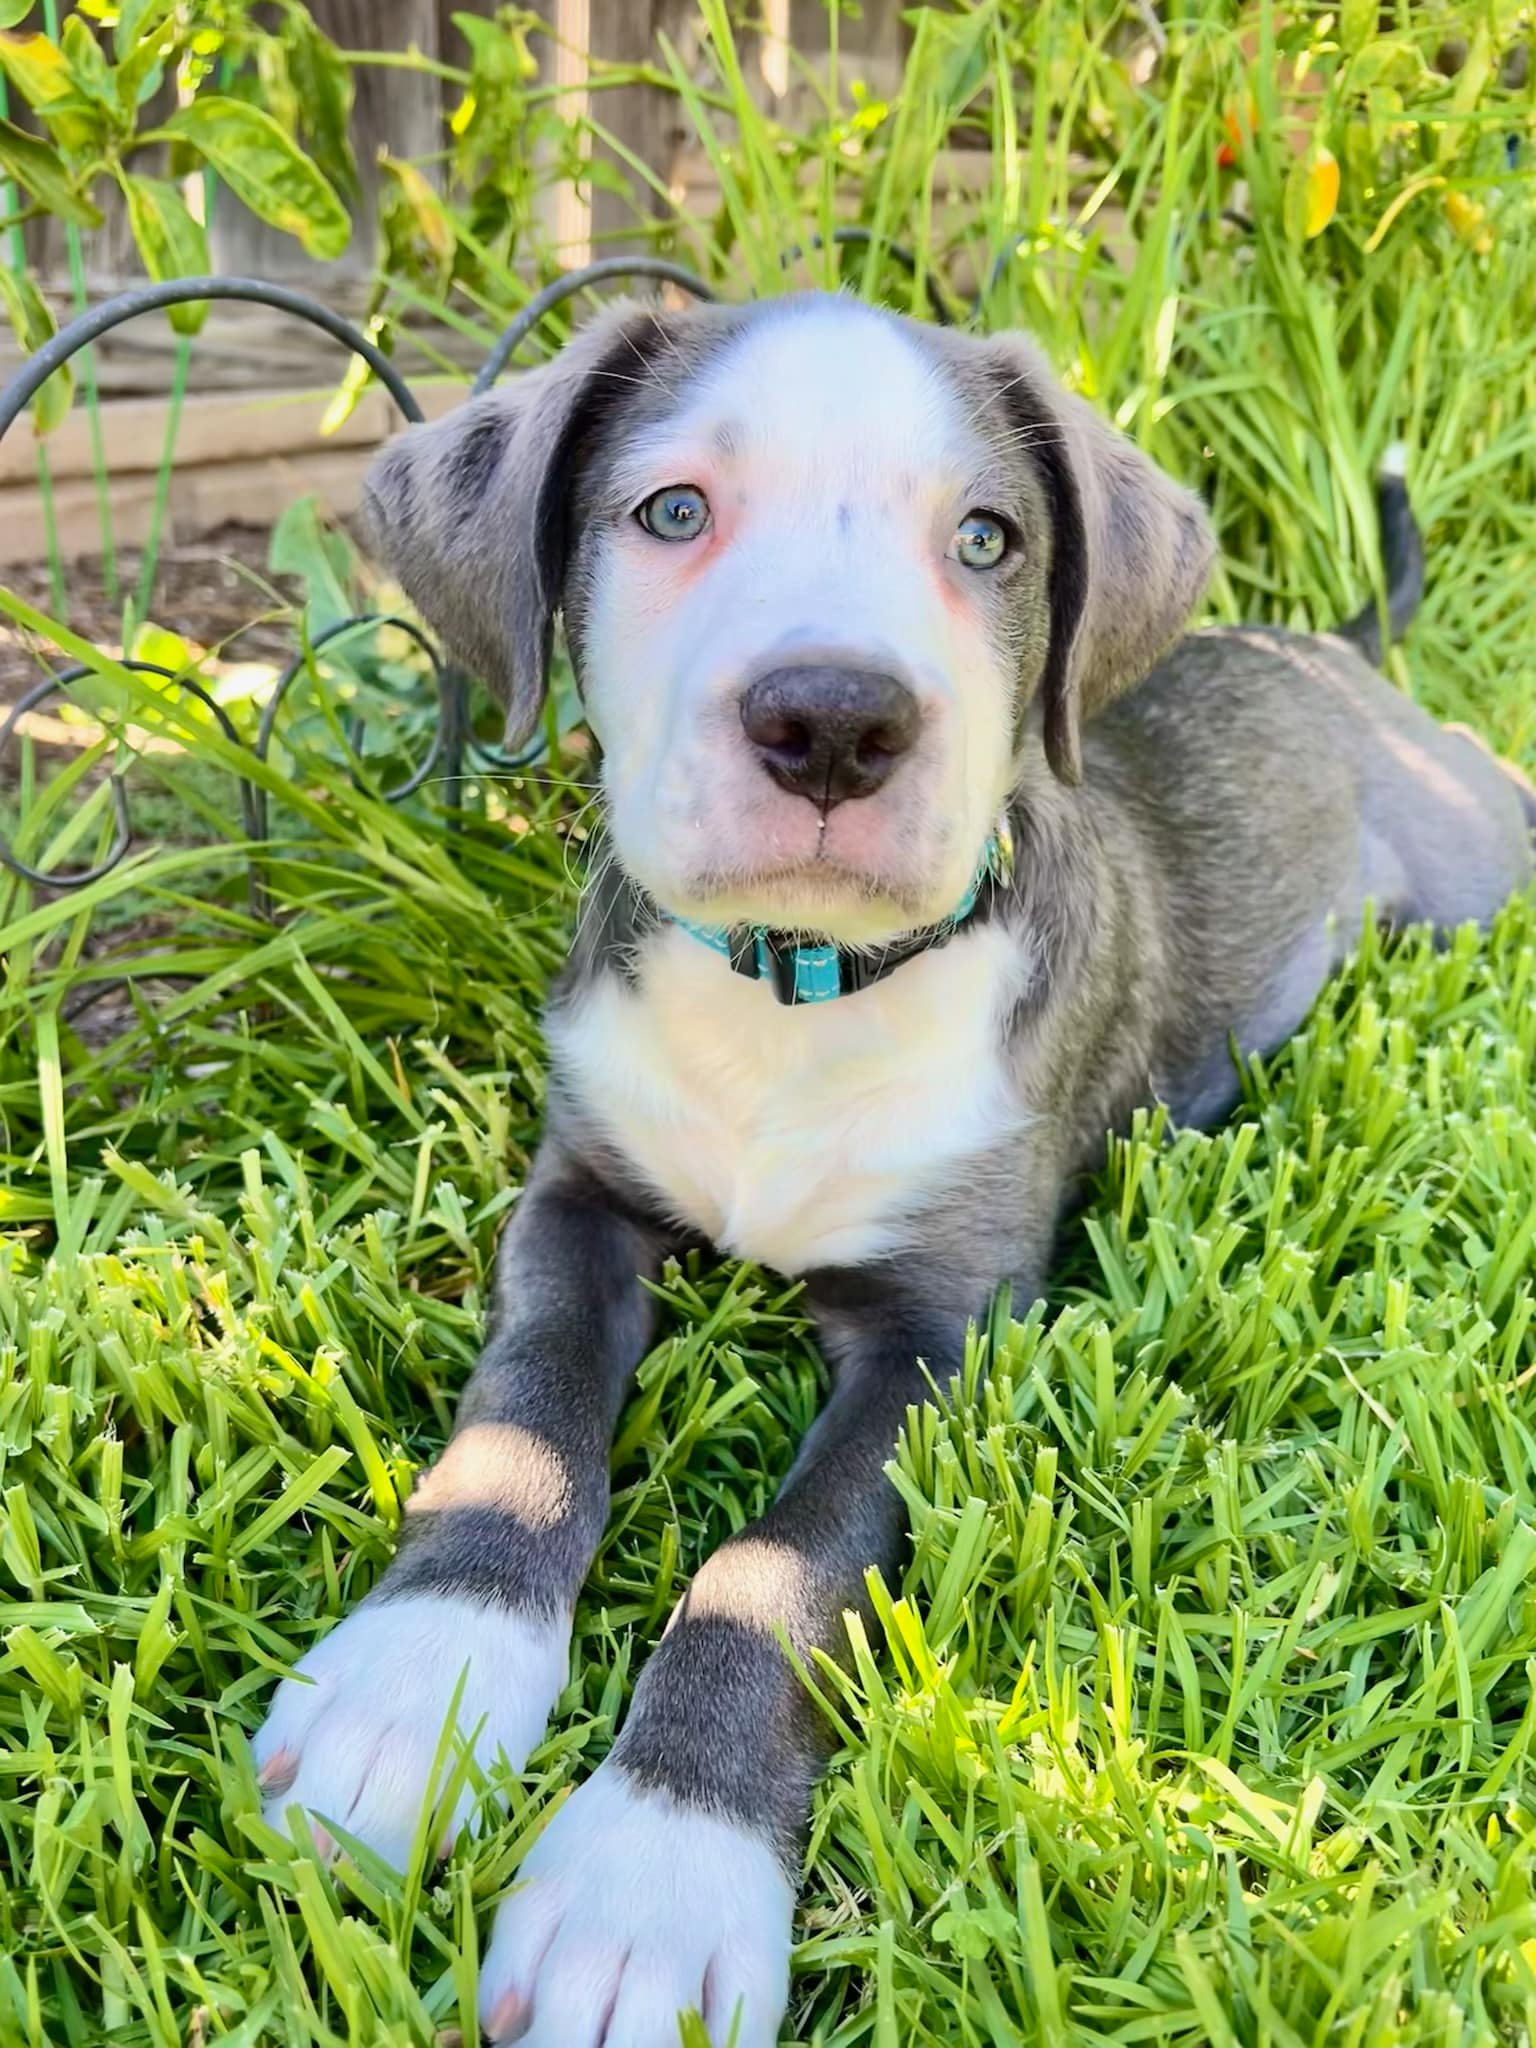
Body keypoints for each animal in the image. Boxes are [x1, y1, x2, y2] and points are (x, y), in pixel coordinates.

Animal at [256, 292, 1536, 2048]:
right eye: (671, 512)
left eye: (989, 539)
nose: (833, 722)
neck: (793, 992)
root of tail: (1325, 646)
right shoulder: (576, 1199)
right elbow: (519, 1423)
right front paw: (416, 1683)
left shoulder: (946, 1333)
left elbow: (773, 1573)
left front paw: (648, 1887)